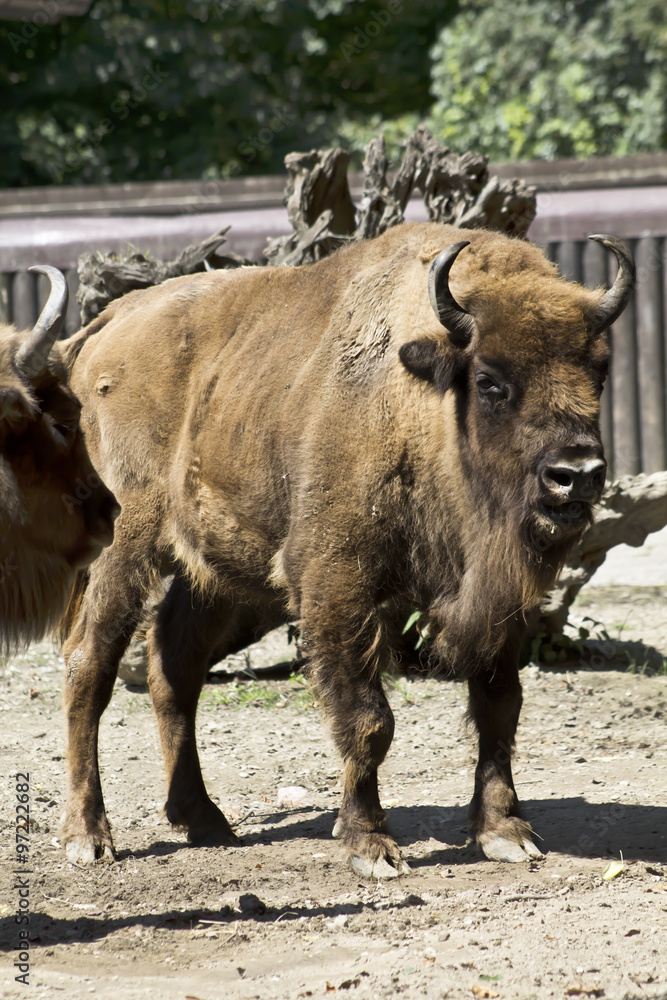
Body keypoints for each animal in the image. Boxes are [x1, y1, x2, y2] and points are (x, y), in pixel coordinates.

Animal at [60, 225, 636, 876]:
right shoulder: (338, 583)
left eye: (599, 371)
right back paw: (88, 837)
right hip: (124, 546)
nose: (577, 475)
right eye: (490, 381)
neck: (421, 403)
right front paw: (370, 845)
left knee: (174, 666)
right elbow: (369, 719)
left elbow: (499, 707)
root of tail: (109, 325)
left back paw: (204, 820)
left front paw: (505, 833)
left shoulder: (497, 602)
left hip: (214, 569)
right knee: (90, 664)